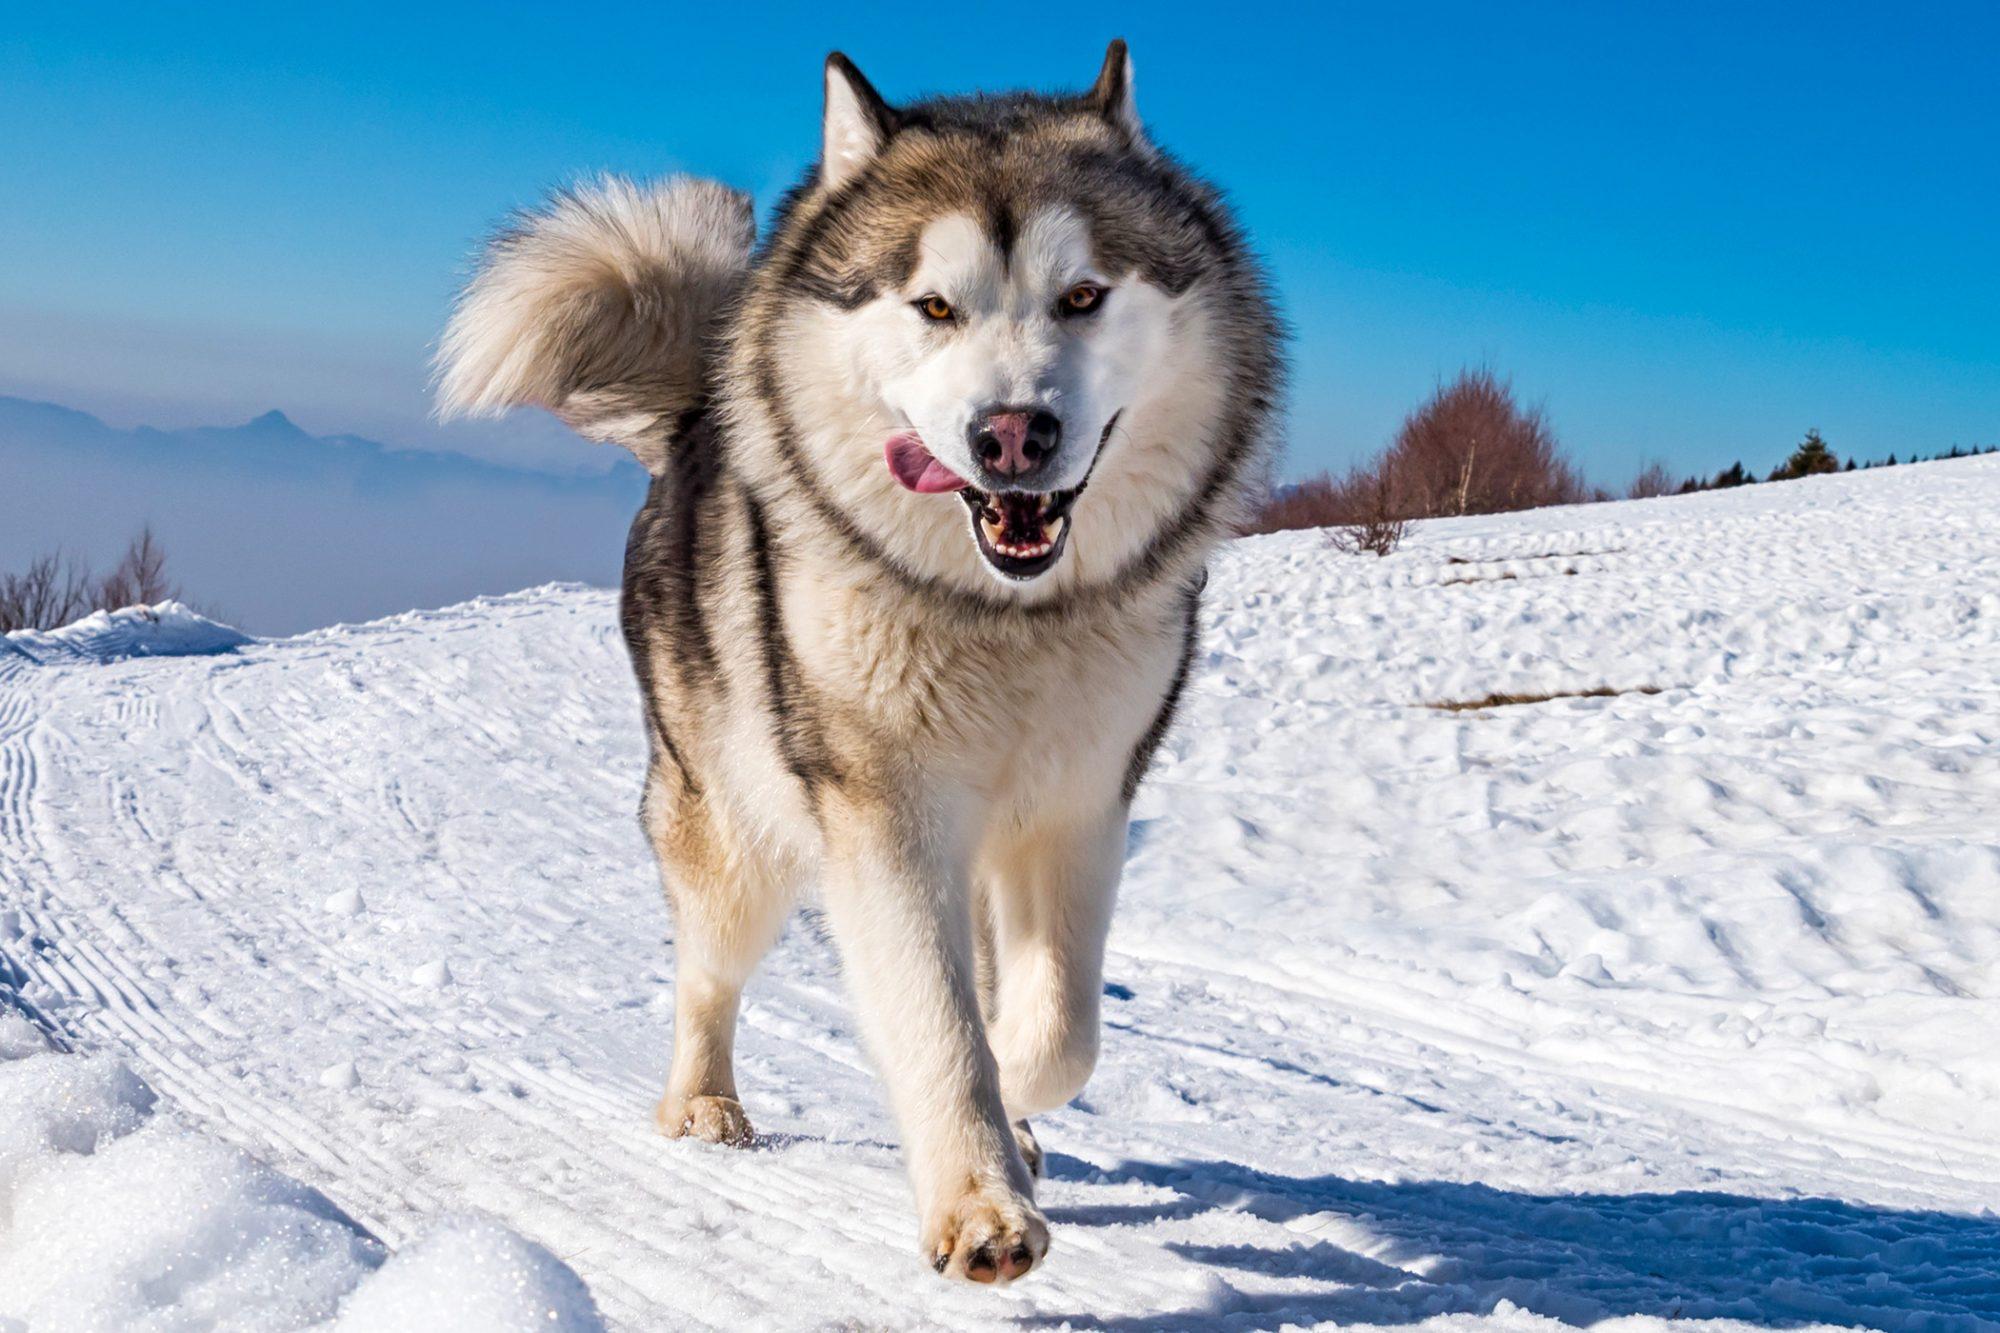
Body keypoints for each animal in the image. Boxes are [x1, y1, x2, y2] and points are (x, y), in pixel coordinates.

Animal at [435, 41, 1282, 1284]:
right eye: (932, 305)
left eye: (1083, 296)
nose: (1011, 434)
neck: (996, 618)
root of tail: (692, 416)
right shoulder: (881, 808)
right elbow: (936, 1016)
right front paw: (980, 1201)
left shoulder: (1080, 807)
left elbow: (1055, 1028)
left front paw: (1014, 1109)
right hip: (731, 828)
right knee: (705, 973)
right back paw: (702, 1107)